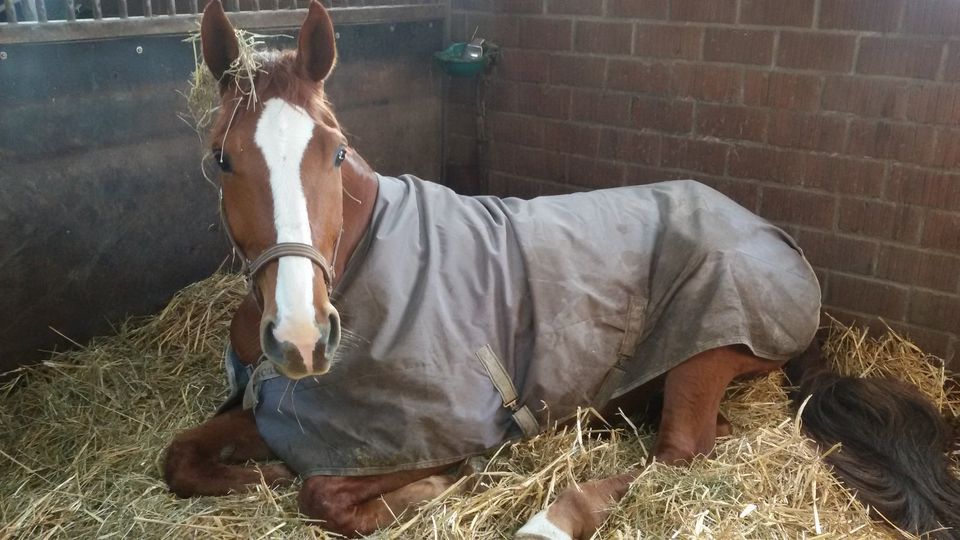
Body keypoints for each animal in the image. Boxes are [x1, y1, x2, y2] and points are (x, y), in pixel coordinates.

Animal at [169, 2, 960, 536]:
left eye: (334, 152)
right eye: (222, 158)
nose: (302, 337)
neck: (366, 266)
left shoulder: (449, 430)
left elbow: (325, 494)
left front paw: (435, 491)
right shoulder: (278, 414)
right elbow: (182, 456)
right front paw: (264, 470)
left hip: (705, 352)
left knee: (677, 454)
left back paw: (553, 516)